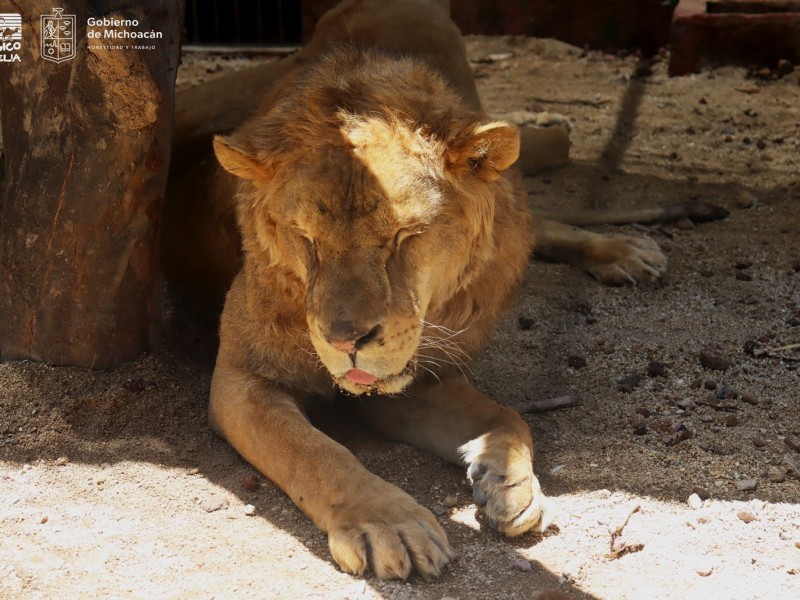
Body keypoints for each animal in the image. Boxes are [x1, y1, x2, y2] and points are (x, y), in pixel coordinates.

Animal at [162, 0, 724, 580]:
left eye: (403, 237)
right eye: (307, 240)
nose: (344, 341)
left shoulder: (419, 381)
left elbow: (507, 414)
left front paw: (510, 483)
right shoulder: (242, 382)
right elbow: (313, 453)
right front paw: (387, 523)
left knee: (532, 199)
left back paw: (621, 247)